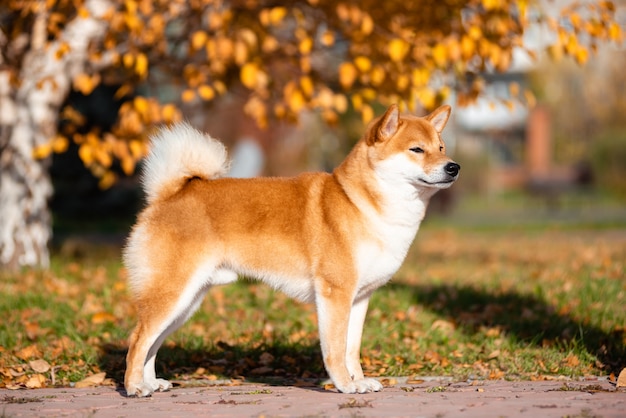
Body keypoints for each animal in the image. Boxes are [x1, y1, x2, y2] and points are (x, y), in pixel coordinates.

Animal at [122, 103, 458, 396]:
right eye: (417, 149)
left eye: (441, 147)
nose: (453, 167)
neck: (361, 203)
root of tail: (168, 195)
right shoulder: (335, 294)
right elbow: (335, 349)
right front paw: (345, 385)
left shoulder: (360, 297)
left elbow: (352, 348)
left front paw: (359, 380)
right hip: (172, 294)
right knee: (138, 339)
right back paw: (134, 387)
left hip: (186, 301)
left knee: (151, 345)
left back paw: (151, 383)